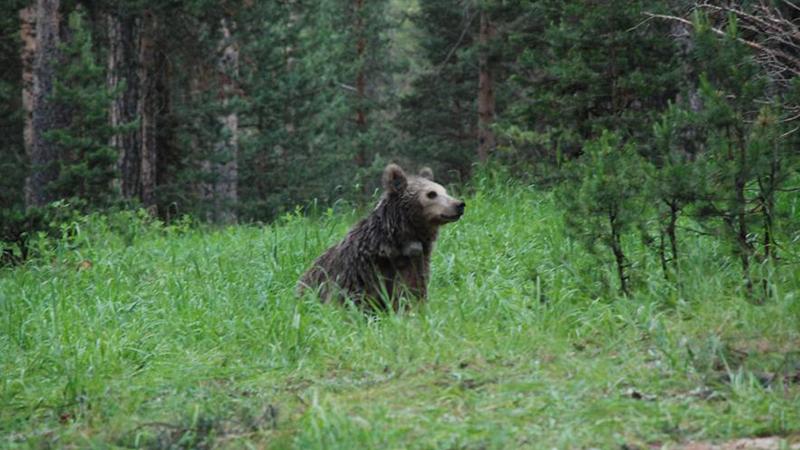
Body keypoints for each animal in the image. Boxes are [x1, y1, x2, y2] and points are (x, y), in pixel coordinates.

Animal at [296, 163, 466, 312]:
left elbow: (411, 293)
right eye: (431, 194)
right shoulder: (362, 271)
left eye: (444, 190)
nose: (459, 204)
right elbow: (356, 300)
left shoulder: (415, 262)